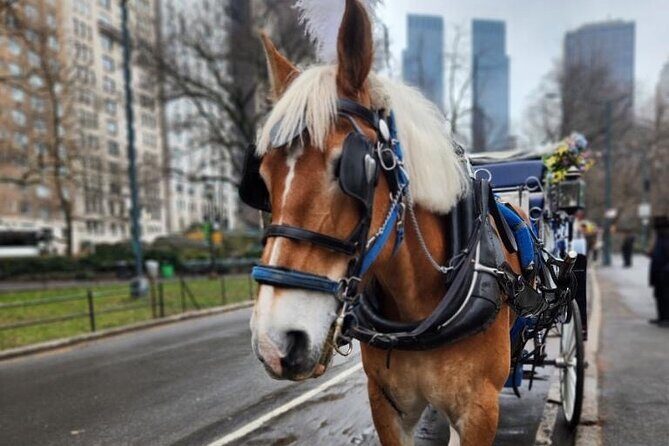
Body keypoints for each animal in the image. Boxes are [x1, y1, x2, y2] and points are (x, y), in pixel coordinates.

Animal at [247, 1, 521, 444]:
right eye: (262, 177)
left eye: (351, 169)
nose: (276, 343)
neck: (421, 311)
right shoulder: (388, 406)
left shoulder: (480, 410)